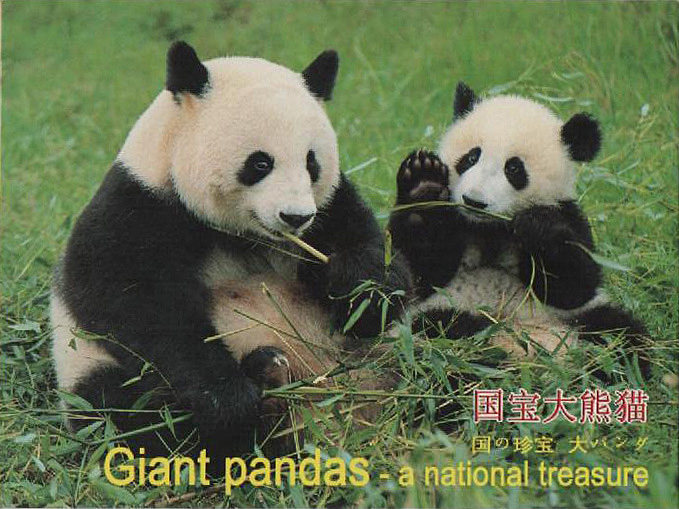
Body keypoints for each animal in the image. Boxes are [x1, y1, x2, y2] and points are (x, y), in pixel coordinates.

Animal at [51, 41, 411, 464]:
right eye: (260, 162)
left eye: (312, 162)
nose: (295, 217)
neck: (242, 234)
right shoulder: (139, 207)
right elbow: (132, 301)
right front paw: (228, 398)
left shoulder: (333, 206)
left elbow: (377, 270)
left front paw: (359, 283)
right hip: (88, 368)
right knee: (132, 416)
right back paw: (263, 382)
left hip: (393, 355)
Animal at [389, 82, 648, 375]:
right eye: (471, 157)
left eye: (513, 168)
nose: (474, 201)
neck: (489, 228)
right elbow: (420, 271)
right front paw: (424, 184)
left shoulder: (568, 214)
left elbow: (575, 285)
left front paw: (538, 226)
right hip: (442, 312)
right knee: (439, 334)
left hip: (581, 319)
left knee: (621, 337)